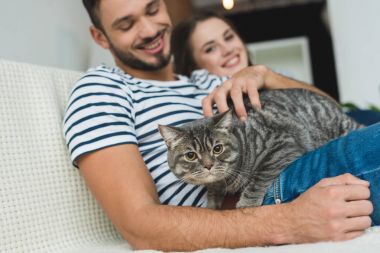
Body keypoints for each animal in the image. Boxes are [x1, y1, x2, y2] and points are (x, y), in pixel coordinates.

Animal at [157, 89, 362, 210]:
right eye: (191, 155)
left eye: (217, 148)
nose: (208, 165)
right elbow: (213, 191)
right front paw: (212, 203)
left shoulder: (282, 145)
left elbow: (258, 177)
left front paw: (246, 203)